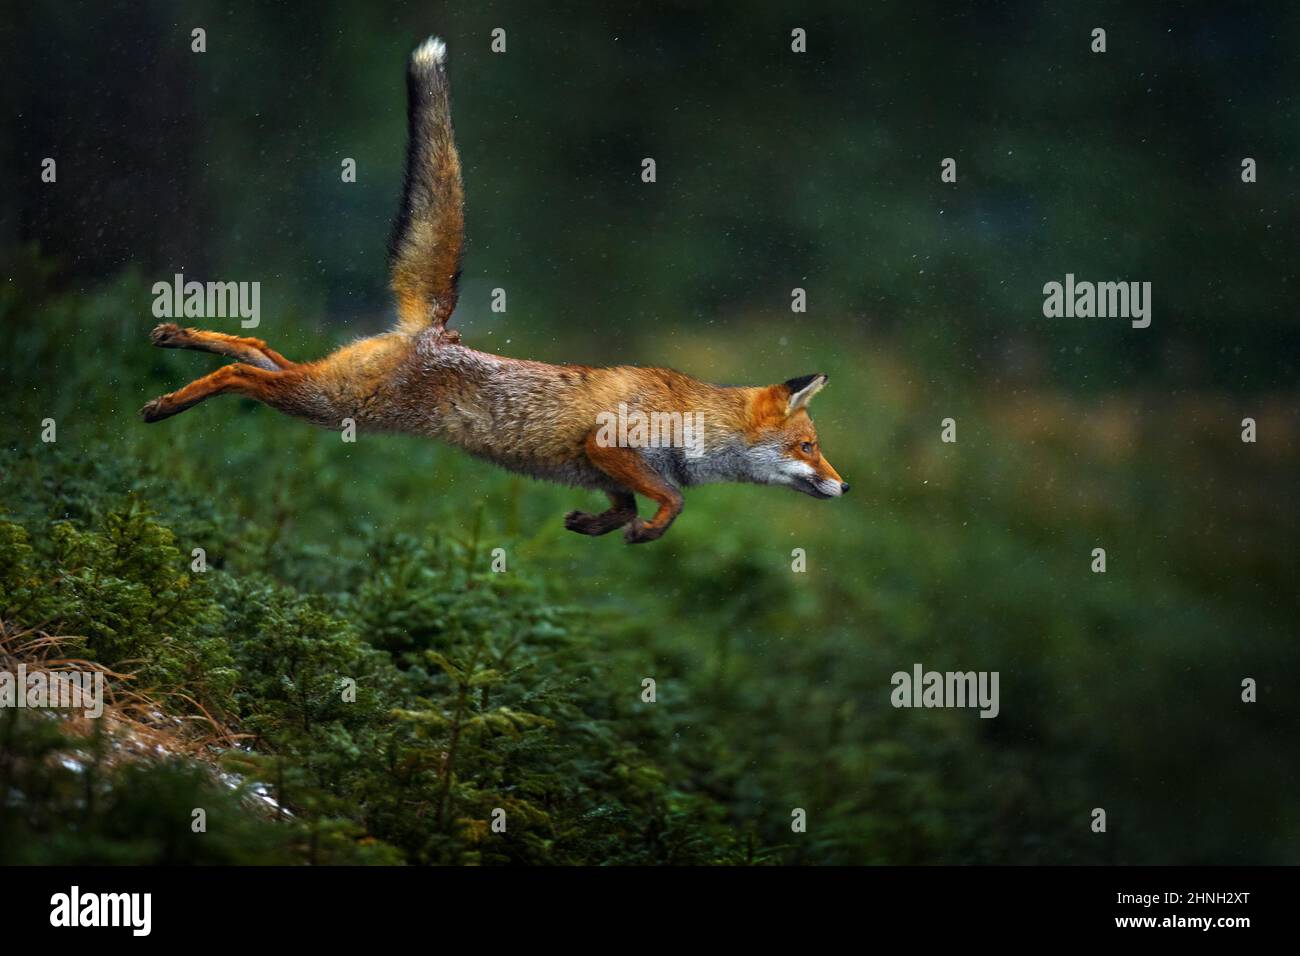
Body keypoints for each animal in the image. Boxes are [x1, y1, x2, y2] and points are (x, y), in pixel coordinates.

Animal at [140, 36, 848, 543]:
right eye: (808, 448)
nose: (845, 488)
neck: (697, 422)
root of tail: (435, 330)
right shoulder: (609, 445)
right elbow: (671, 501)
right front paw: (647, 530)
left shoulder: (599, 467)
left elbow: (626, 507)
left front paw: (596, 525)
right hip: (328, 403)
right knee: (243, 373)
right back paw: (168, 403)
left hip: (329, 389)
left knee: (257, 348)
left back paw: (175, 336)